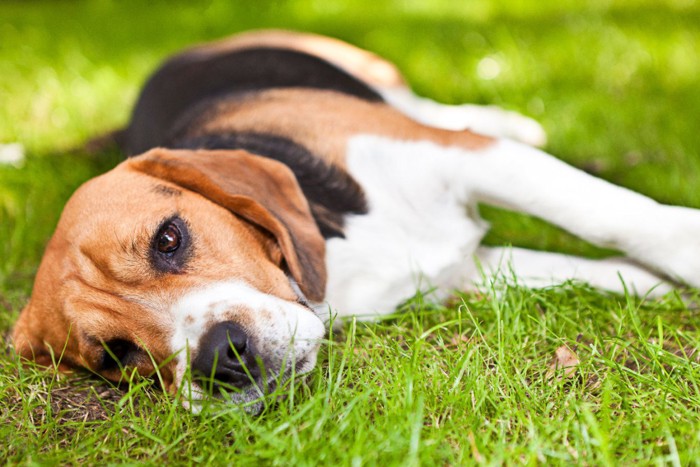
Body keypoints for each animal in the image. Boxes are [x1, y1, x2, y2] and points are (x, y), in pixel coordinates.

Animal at [10, 29, 700, 412]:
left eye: (169, 239)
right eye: (117, 357)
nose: (221, 361)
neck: (336, 255)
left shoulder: (469, 159)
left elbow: (617, 217)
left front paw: (684, 254)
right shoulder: (459, 273)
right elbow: (584, 267)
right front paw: (657, 286)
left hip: (380, 80)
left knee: (438, 109)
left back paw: (501, 116)